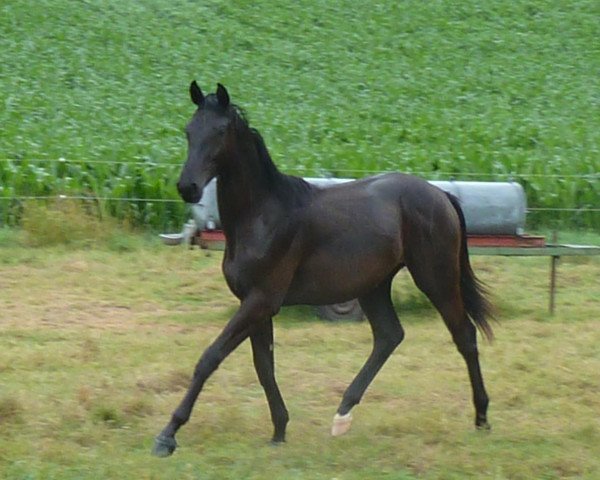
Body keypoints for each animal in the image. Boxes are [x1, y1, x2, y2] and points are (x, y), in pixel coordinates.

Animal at [152, 82, 494, 458]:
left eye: (220, 131)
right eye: (189, 130)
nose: (187, 187)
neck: (261, 215)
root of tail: (441, 195)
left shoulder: (260, 301)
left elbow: (210, 357)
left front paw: (168, 435)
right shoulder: (256, 305)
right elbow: (264, 366)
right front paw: (279, 431)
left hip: (436, 279)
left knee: (464, 335)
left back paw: (481, 418)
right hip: (373, 286)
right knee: (389, 336)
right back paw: (342, 415)